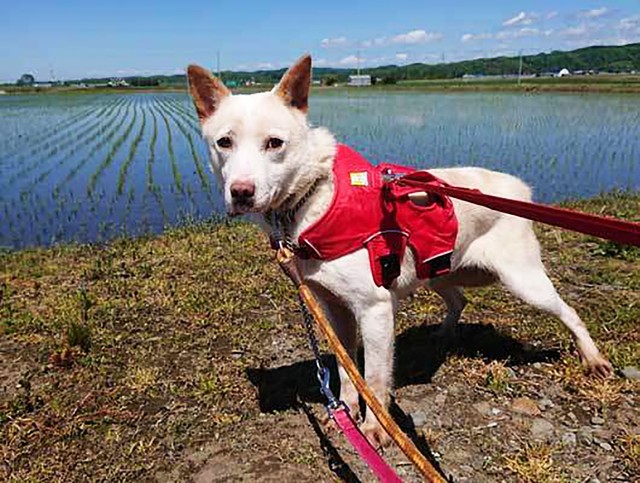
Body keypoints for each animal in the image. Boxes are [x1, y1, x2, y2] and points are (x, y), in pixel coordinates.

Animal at [188, 54, 612, 448]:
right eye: (223, 142)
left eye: (274, 143)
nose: (241, 193)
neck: (317, 198)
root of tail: (518, 188)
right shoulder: (335, 310)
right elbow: (347, 372)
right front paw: (344, 414)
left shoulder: (374, 310)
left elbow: (374, 378)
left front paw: (375, 428)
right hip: (438, 268)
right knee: (458, 299)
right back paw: (442, 336)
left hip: (522, 280)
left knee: (568, 311)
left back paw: (592, 358)